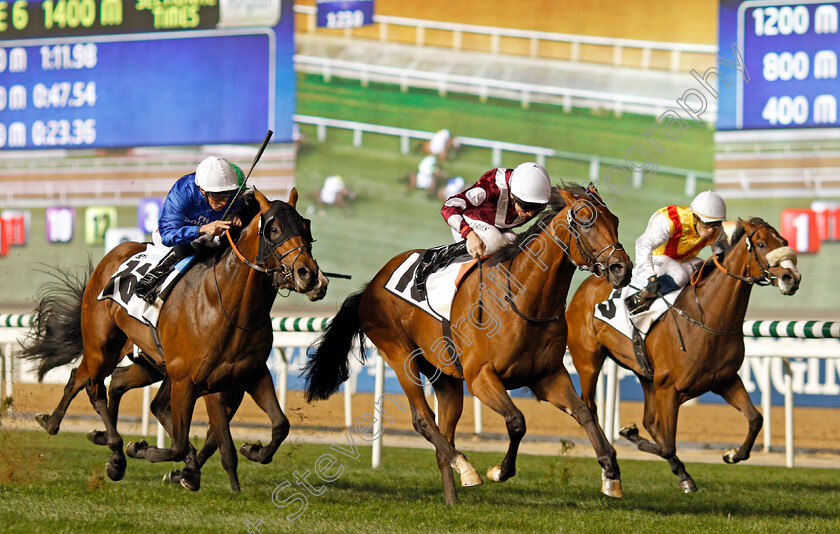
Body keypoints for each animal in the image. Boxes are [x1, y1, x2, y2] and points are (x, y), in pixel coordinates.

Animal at [22, 188, 324, 490]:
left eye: (306, 226)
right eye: (274, 229)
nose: (309, 275)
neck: (228, 305)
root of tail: (114, 254)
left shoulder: (250, 373)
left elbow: (280, 425)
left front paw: (252, 451)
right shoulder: (189, 380)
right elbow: (181, 443)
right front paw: (145, 450)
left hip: (151, 363)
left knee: (112, 382)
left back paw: (91, 437)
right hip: (101, 347)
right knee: (90, 384)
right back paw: (107, 448)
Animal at [302, 185, 632, 506]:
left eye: (615, 221)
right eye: (586, 221)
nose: (622, 268)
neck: (523, 298)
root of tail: (371, 285)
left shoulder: (547, 376)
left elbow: (585, 412)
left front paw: (611, 474)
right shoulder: (481, 377)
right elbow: (517, 421)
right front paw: (499, 470)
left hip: (445, 376)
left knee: (444, 435)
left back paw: (453, 496)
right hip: (399, 354)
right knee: (423, 420)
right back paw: (467, 467)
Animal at [564, 218, 800, 494]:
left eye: (784, 241)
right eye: (761, 244)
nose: (792, 277)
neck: (704, 318)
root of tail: (586, 286)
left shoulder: (724, 380)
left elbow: (755, 418)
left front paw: (732, 454)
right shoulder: (669, 388)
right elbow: (667, 445)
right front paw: (630, 435)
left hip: (644, 373)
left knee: (650, 420)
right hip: (588, 360)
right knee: (590, 407)